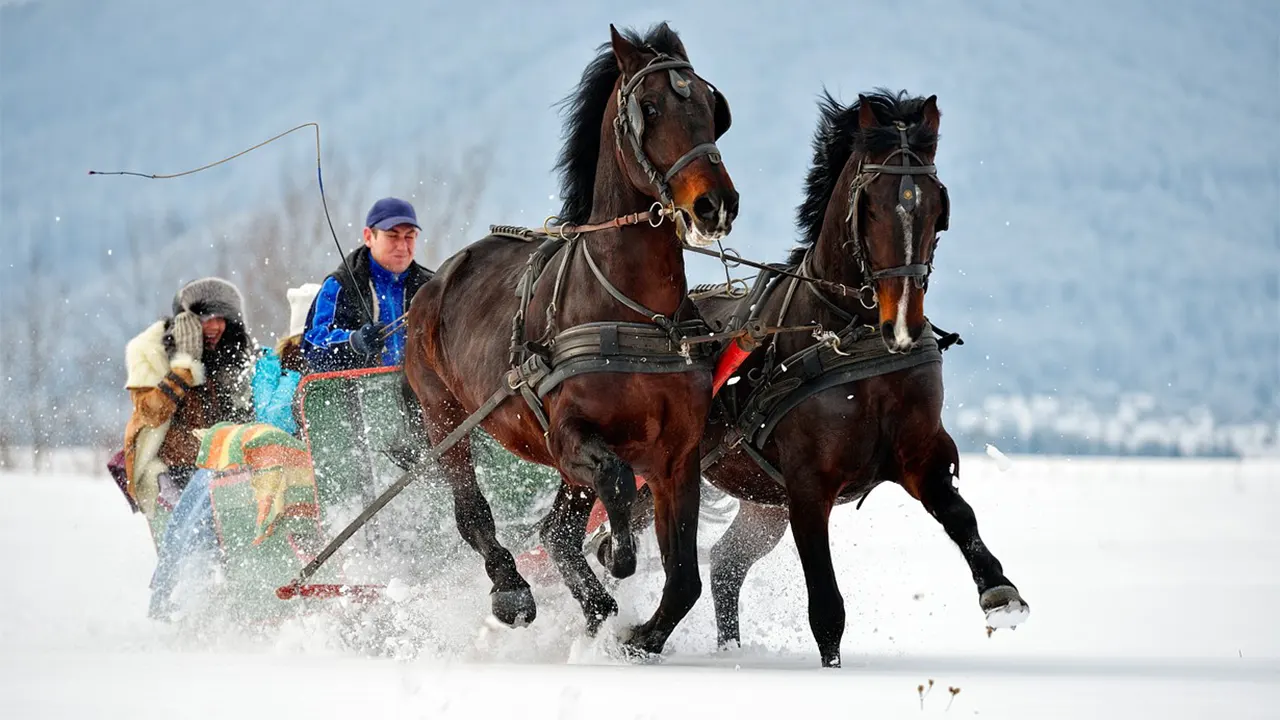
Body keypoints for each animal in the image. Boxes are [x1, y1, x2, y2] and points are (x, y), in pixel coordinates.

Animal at [399, 22, 742, 653]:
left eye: (712, 108)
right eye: (649, 108)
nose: (714, 204)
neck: (634, 314)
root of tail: (437, 279)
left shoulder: (677, 457)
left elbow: (684, 579)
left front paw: (640, 637)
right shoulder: (568, 437)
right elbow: (616, 483)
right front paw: (618, 553)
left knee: (556, 532)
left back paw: (596, 604)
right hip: (444, 419)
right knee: (473, 513)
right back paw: (512, 589)